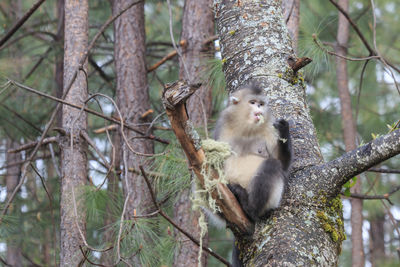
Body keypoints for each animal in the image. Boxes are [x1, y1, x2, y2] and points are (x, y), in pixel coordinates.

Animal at [214, 84, 292, 222]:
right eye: (252, 102)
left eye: (260, 104)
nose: (258, 108)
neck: (247, 129)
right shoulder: (222, 124)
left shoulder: (269, 128)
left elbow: (283, 165)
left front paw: (283, 129)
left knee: (272, 164)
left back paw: (249, 207)